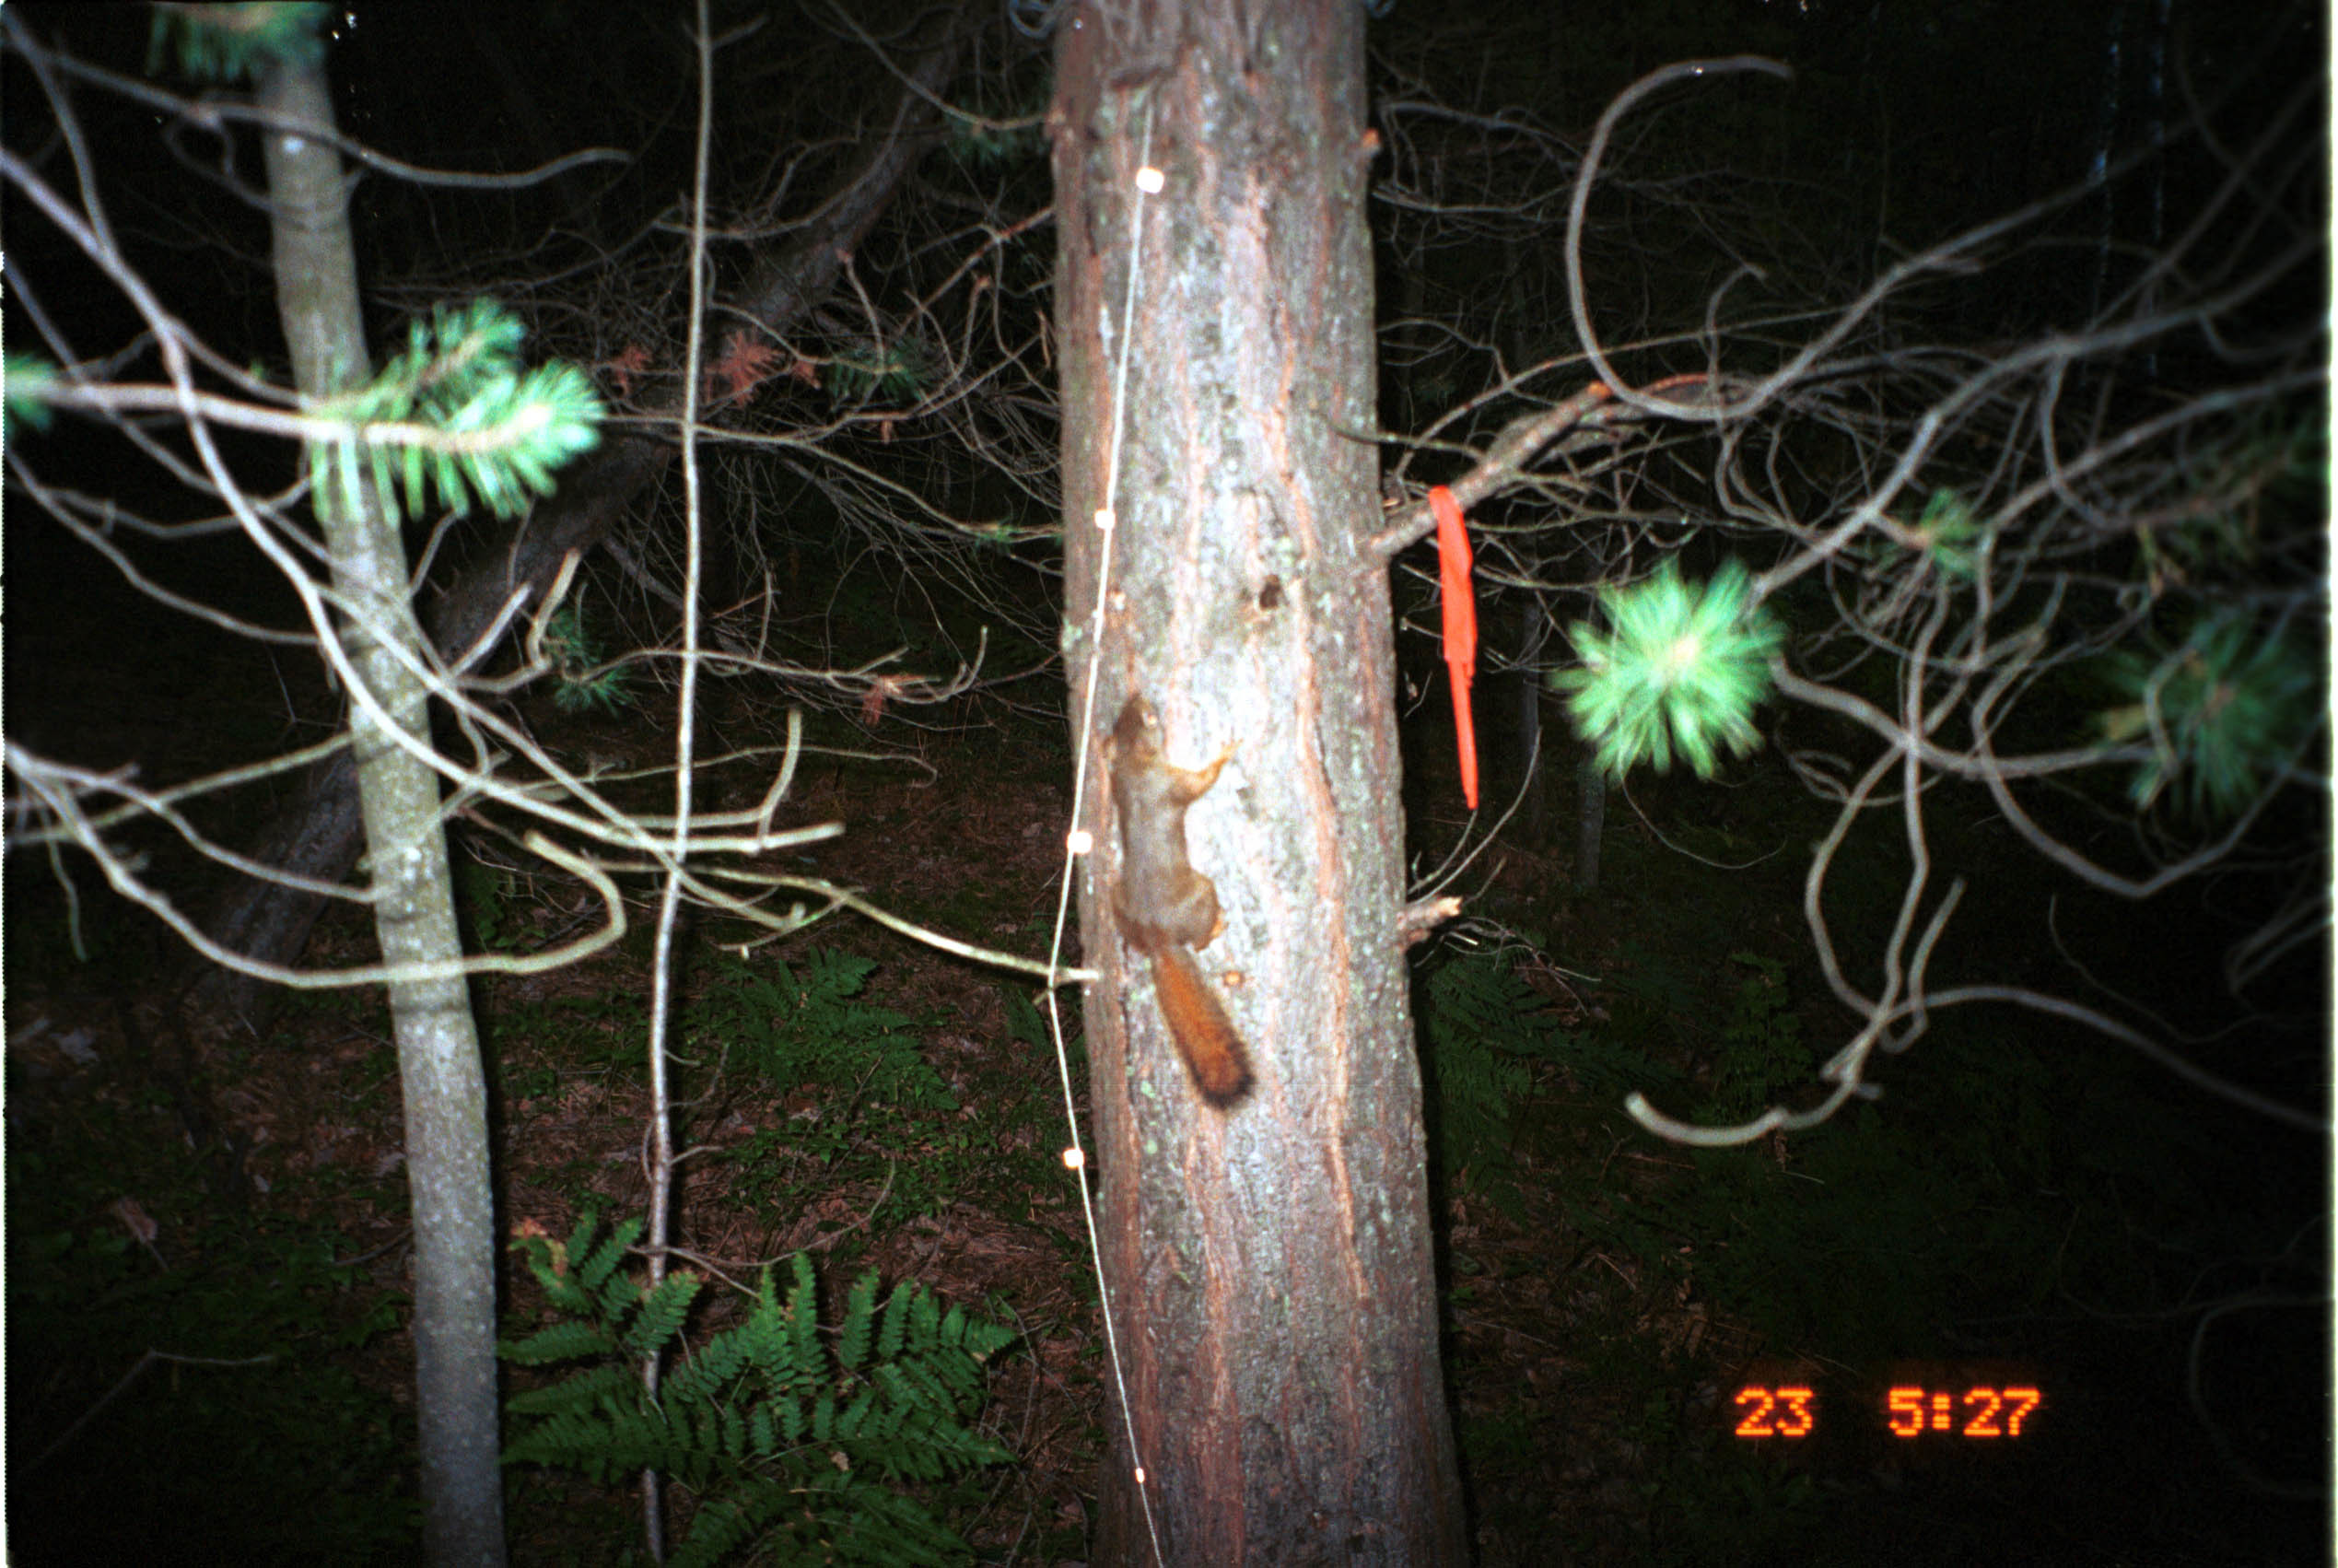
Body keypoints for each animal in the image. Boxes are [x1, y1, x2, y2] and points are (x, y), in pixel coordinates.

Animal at [1103, 691, 1253, 1112]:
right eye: (1149, 717)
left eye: (1125, 715)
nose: (1139, 693)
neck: (1133, 762)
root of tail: (1159, 941)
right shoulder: (1174, 782)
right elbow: (1203, 781)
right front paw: (1227, 751)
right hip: (1203, 892)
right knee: (1199, 941)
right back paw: (1215, 927)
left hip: (1119, 903)